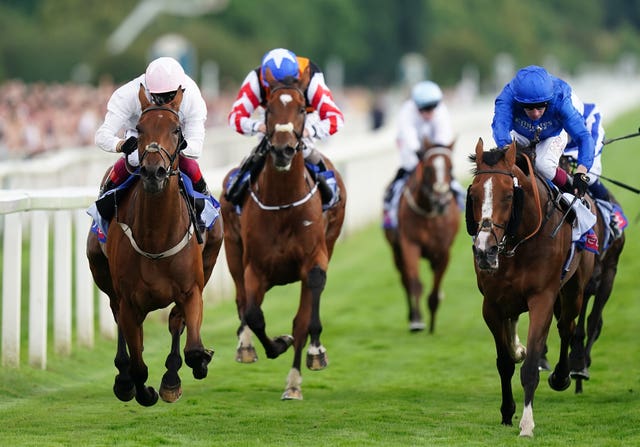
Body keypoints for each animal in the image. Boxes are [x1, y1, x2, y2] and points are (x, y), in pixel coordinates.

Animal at [85, 85, 225, 410]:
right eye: (138, 128)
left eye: (176, 129)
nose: (153, 172)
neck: (156, 236)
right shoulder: (129, 301)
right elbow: (138, 362)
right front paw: (140, 389)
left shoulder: (192, 290)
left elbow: (192, 345)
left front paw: (194, 366)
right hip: (103, 276)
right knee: (117, 317)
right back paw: (124, 378)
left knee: (174, 322)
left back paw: (172, 377)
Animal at [222, 65, 348, 400]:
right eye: (268, 109)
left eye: (302, 109)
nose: (283, 149)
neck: (282, 204)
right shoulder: (255, 267)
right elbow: (253, 314)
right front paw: (275, 344)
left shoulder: (314, 258)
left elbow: (302, 320)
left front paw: (297, 377)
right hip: (232, 249)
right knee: (241, 300)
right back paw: (245, 344)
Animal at [384, 140, 460, 332]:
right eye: (428, 168)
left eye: (450, 168)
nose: (441, 201)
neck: (429, 213)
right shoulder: (410, 245)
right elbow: (415, 284)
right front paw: (417, 321)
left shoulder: (444, 251)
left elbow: (435, 288)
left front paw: (432, 324)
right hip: (396, 252)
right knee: (405, 280)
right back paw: (412, 316)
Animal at [464, 139, 596, 438]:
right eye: (473, 194)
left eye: (508, 195)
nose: (484, 251)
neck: (517, 242)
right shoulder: (491, 304)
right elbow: (505, 362)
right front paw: (507, 412)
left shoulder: (542, 298)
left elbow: (530, 366)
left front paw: (526, 424)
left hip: (574, 290)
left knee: (567, 326)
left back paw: (561, 376)